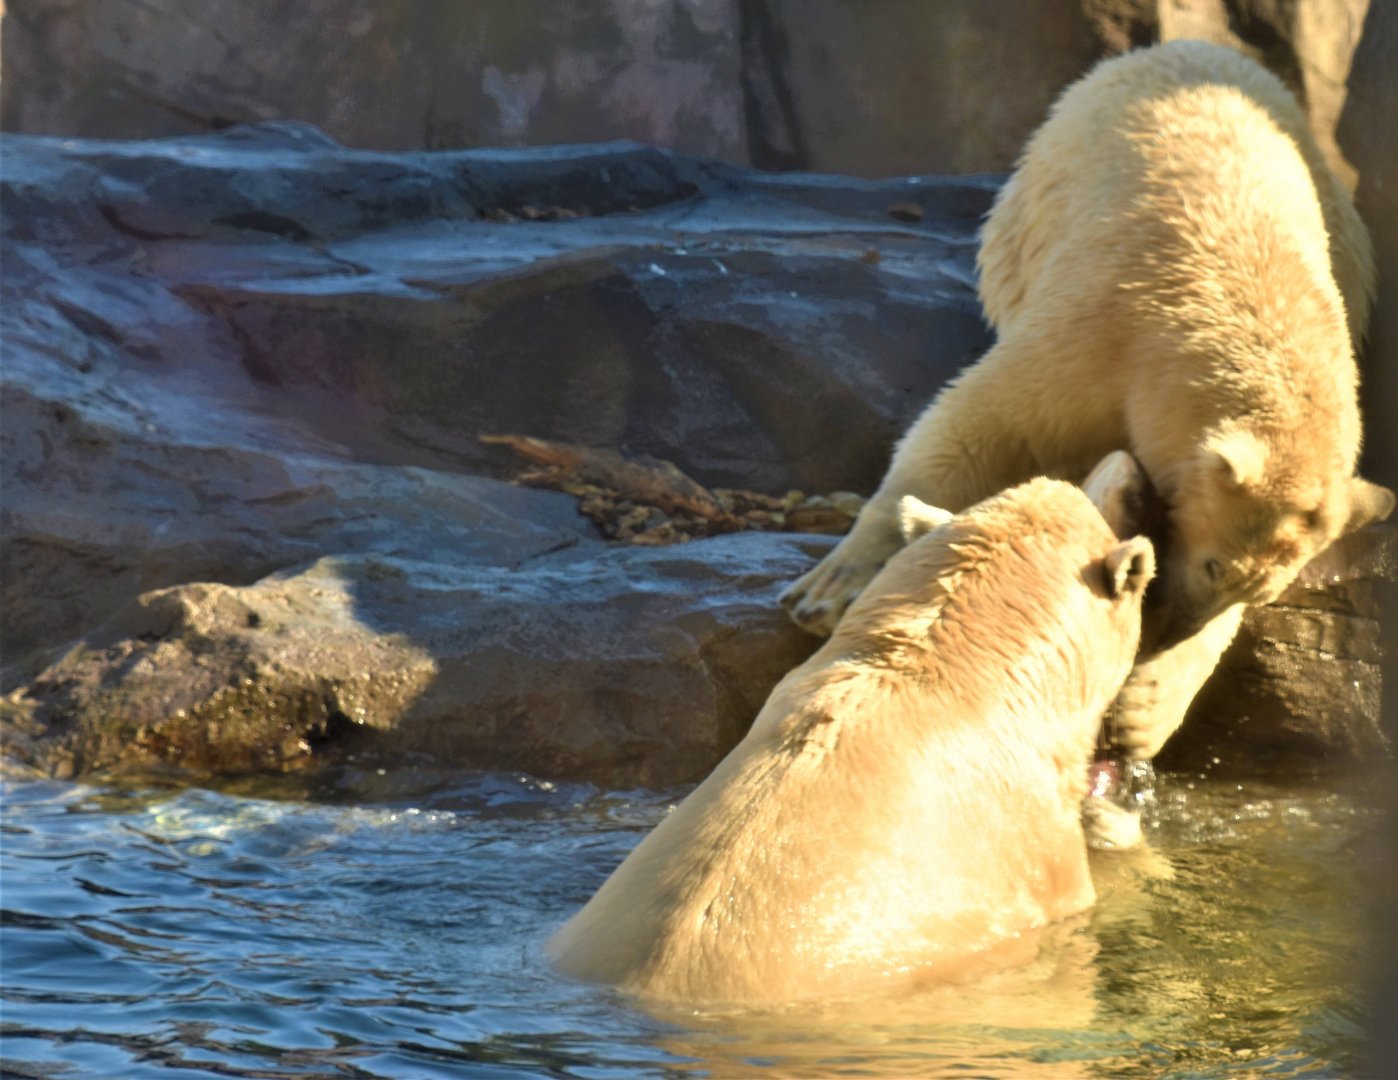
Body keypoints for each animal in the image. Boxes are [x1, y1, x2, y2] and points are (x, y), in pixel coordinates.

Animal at [780, 40, 1393, 768]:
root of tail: (1188, 46)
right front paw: (829, 588)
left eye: (1258, 590)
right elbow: (980, 424)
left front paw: (1146, 709)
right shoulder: (1105, 330)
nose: (1171, 628)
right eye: (1214, 563)